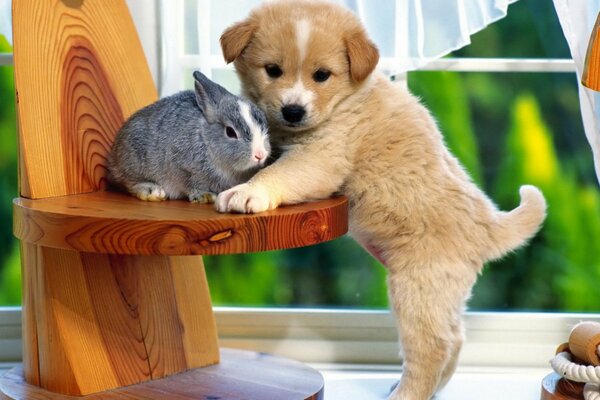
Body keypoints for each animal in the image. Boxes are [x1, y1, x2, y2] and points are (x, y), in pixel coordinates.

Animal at [108, 70, 272, 203]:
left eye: (264, 127)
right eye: (230, 132)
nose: (260, 155)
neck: (206, 141)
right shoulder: (183, 169)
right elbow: (191, 184)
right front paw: (205, 196)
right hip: (134, 161)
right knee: (128, 182)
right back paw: (153, 191)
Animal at [218, 1, 548, 398]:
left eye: (322, 75)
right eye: (272, 70)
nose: (293, 111)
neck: (346, 100)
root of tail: (488, 223)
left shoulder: (322, 157)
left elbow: (278, 173)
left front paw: (247, 193)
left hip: (417, 289)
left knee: (434, 348)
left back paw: (406, 393)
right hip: (442, 295)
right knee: (455, 339)